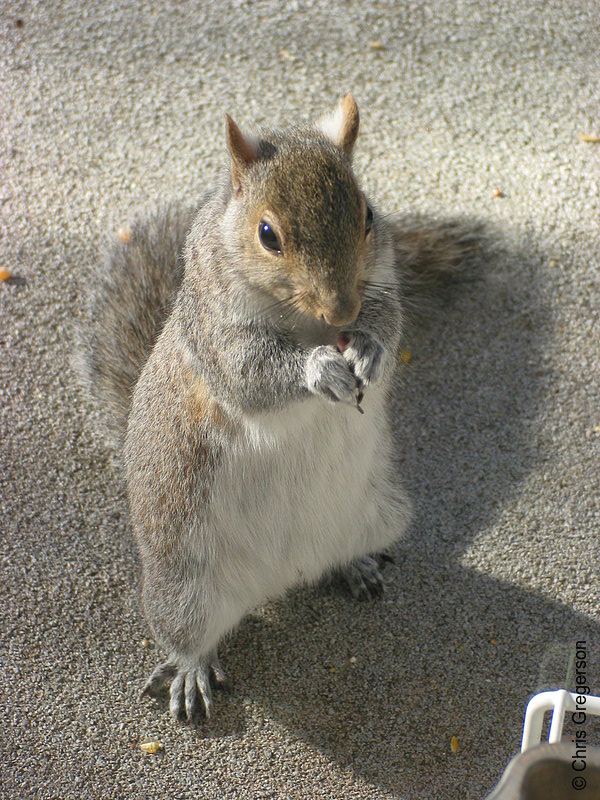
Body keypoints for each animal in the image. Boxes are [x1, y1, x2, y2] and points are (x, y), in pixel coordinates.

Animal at [79, 94, 480, 720]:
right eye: (267, 234)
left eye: (368, 214)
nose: (343, 311)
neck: (305, 322)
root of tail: (282, 578)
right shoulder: (218, 333)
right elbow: (252, 373)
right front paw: (318, 369)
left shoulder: (383, 285)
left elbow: (389, 324)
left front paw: (368, 348)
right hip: (184, 587)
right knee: (188, 635)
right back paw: (191, 671)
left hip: (380, 515)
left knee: (342, 554)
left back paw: (354, 566)